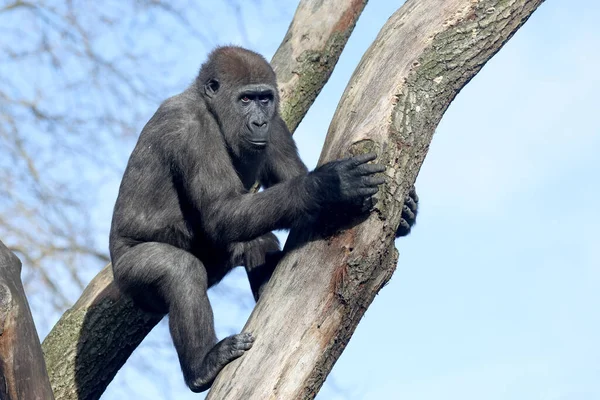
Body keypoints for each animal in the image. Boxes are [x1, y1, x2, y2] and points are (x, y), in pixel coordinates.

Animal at [109, 45, 418, 392]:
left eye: (264, 99)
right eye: (245, 99)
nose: (258, 122)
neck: (211, 107)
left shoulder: (277, 124)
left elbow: (292, 190)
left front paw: (406, 212)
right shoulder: (191, 130)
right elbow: (222, 212)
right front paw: (328, 185)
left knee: (256, 239)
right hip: (129, 279)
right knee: (179, 271)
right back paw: (203, 366)